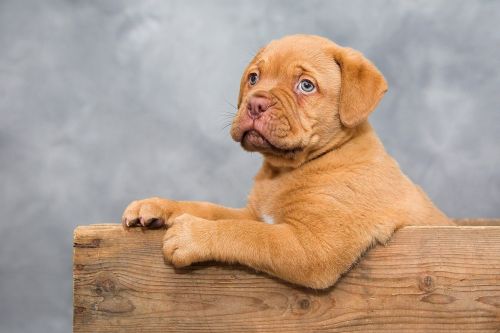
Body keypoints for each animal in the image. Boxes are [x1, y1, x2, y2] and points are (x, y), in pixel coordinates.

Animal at [122, 34, 454, 288]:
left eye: (306, 85)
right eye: (253, 78)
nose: (256, 103)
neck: (285, 170)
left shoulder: (313, 246)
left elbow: (249, 235)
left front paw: (192, 235)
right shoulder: (254, 213)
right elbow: (211, 209)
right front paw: (157, 205)